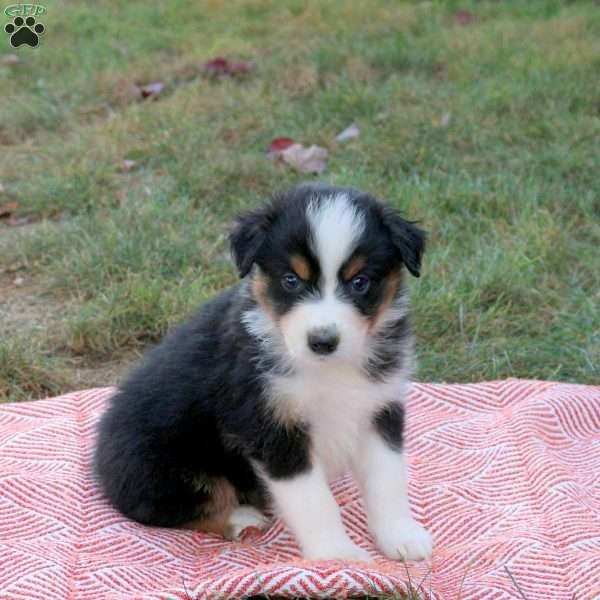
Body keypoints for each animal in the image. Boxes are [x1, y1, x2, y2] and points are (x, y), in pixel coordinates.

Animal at [94, 183, 432, 564]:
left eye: (360, 282)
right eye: (291, 280)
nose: (322, 341)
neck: (328, 370)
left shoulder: (379, 407)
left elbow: (387, 480)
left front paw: (401, 536)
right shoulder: (270, 425)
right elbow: (314, 500)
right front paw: (337, 556)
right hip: (165, 462)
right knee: (163, 507)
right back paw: (241, 519)